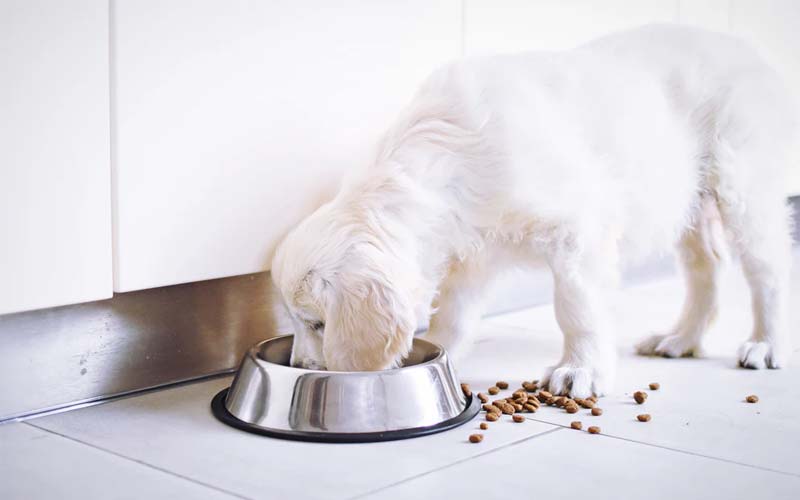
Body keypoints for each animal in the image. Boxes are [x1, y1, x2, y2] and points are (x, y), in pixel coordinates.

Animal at [274, 24, 792, 398]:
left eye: (318, 323)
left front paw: (579, 370)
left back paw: (766, 344)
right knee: (708, 267)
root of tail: (748, 50)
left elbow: (576, 307)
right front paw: (443, 357)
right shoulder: (471, 258)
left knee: (767, 271)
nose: (300, 367)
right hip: (687, 199)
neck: (447, 162)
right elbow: (453, 317)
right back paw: (680, 339)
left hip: (743, 184)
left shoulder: (578, 233)